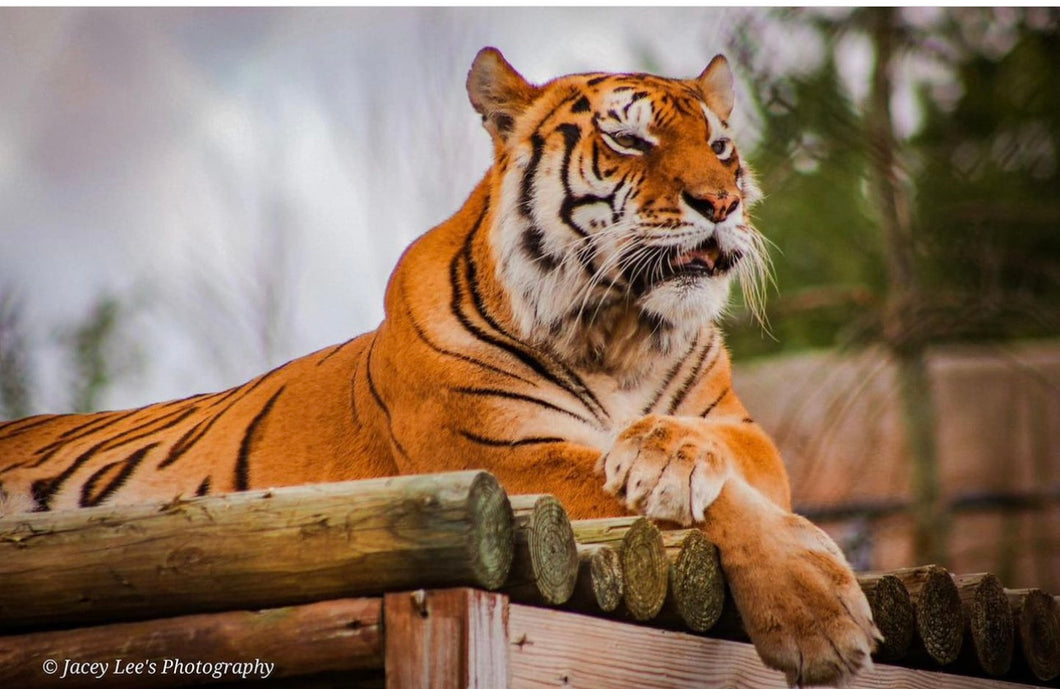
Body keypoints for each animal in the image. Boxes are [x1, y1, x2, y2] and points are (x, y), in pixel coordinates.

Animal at [0, 46, 877, 682]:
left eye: (722, 147)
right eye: (629, 138)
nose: (724, 203)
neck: (620, 330)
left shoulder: (740, 427)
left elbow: (725, 465)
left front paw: (666, 451)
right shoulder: (497, 457)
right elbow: (722, 507)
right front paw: (822, 619)